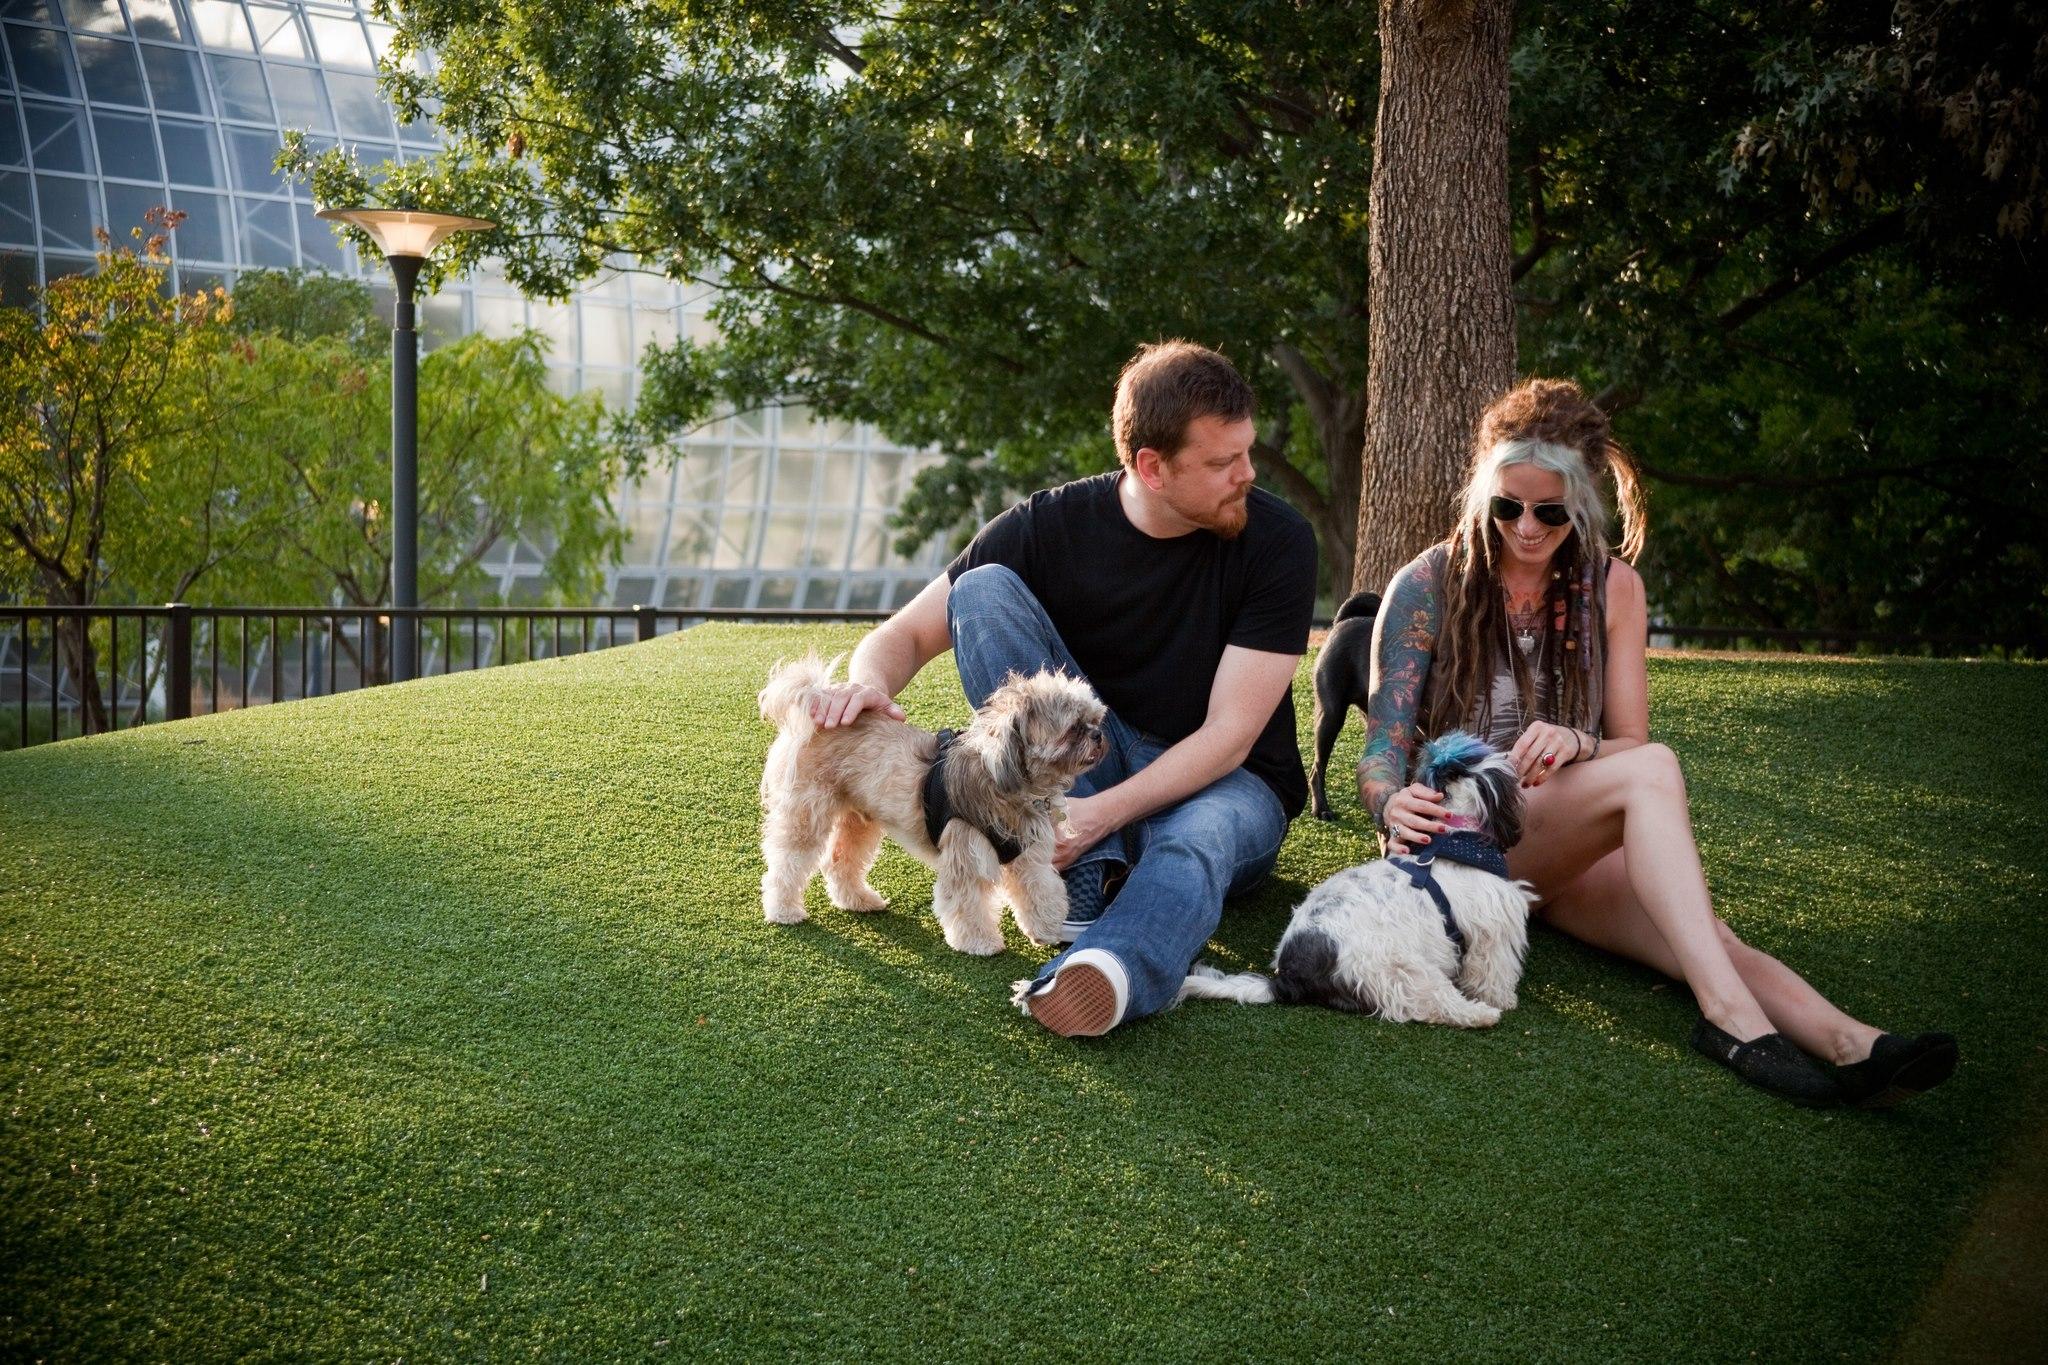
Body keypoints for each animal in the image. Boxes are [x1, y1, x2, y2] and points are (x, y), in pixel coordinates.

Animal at [757, 654, 1105, 957]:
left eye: (1094, 719)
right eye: (1074, 728)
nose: (1099, 735)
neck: (1011, 784)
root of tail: (816, 711)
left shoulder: (1028, 856)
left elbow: (1040, 891)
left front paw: (1045, 928)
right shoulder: (966, 856)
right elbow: (967, 903)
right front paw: (979, 942)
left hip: (859, 818)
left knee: (840, 861)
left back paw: (859, 900)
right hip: (807, 813)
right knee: (787, 863)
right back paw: (783, 909)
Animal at [1187, 736, 1540, 1023]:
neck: (1455, 836)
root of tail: (1284, 978)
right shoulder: (1493, 928)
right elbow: (1492, 970)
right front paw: (1503, 999)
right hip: (1400, 965)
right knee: (1428, 1003)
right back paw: (1480, 1014)